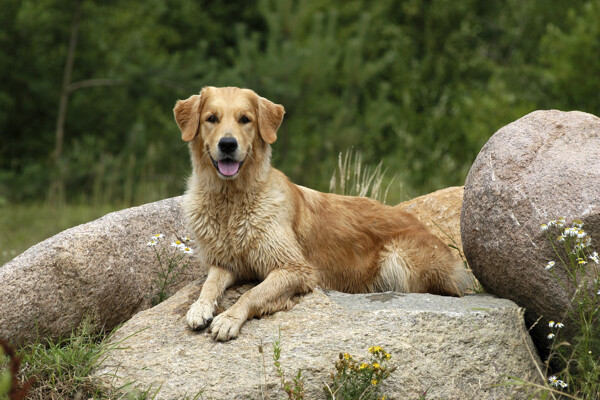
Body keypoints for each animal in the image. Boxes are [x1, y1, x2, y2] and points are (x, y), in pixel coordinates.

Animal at [171, 85, 472, 340]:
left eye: (245, 119)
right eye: (211, 118)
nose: (228, 144)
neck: (231, 201)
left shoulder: (295, 268)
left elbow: (253, 294)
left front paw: (229, 318)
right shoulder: (227, 262)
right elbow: (210, 284)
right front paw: (200, 307)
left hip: (397, 258)